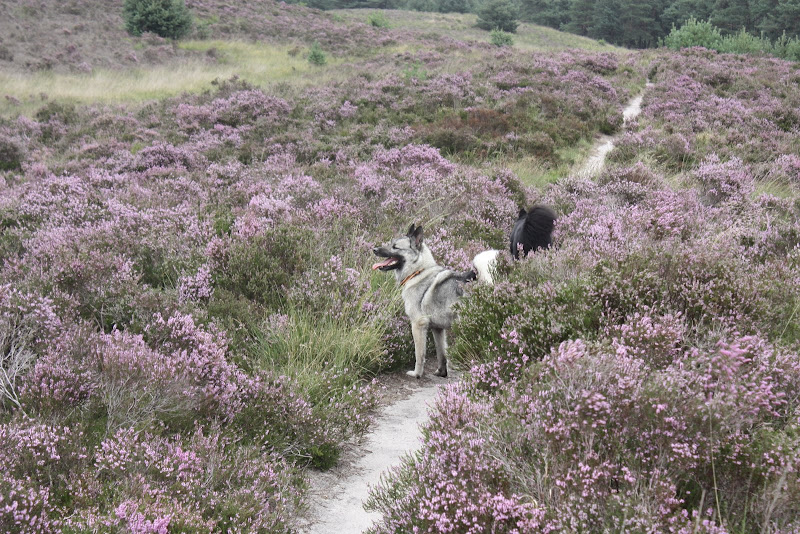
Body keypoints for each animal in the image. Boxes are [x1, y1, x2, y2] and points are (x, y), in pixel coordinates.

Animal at [374, 226, 478, 382]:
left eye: (395, 247)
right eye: (390, 243)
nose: (374, 249)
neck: (418, 271)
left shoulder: (418, 324)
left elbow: (419, 354)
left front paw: (417, 374)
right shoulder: (437, 329)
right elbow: (441, 354)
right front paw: (442, 372)